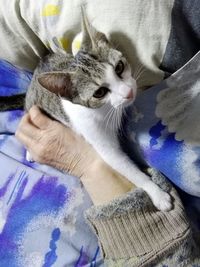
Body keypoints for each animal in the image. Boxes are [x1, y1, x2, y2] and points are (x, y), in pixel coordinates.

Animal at [0, 12, 172, 213]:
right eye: (100, 93)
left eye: (119, 67)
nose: (128, 92)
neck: (106, 111)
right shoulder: (98, 138)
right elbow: (125, 166)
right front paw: (156, 193)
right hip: (33, 104)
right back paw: (28, 152)